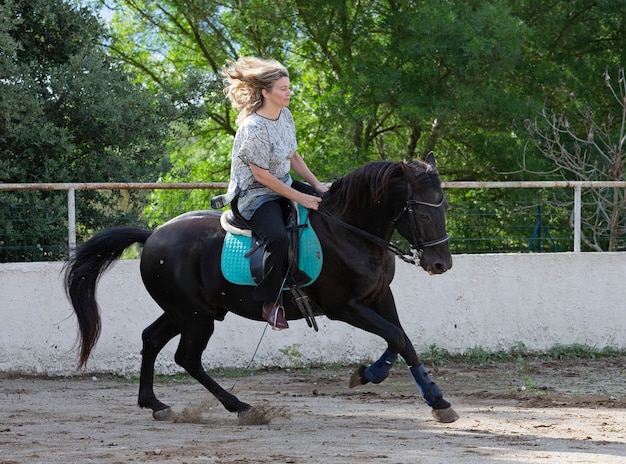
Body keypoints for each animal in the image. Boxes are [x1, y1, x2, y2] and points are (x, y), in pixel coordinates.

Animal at [64, 154, 458, 422]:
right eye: (423, 213)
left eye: (445, 208)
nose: (441, 264)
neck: (349, 231)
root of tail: (152, 236)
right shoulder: (344, 306)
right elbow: (395, 336)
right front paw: (368, 374)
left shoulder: (379, 297)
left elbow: (403, 340)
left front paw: (437, 400)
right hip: (195, 317)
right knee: (186, 357)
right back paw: (240, 406)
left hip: (187, 311)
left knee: (152, 339)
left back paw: (155, 404)